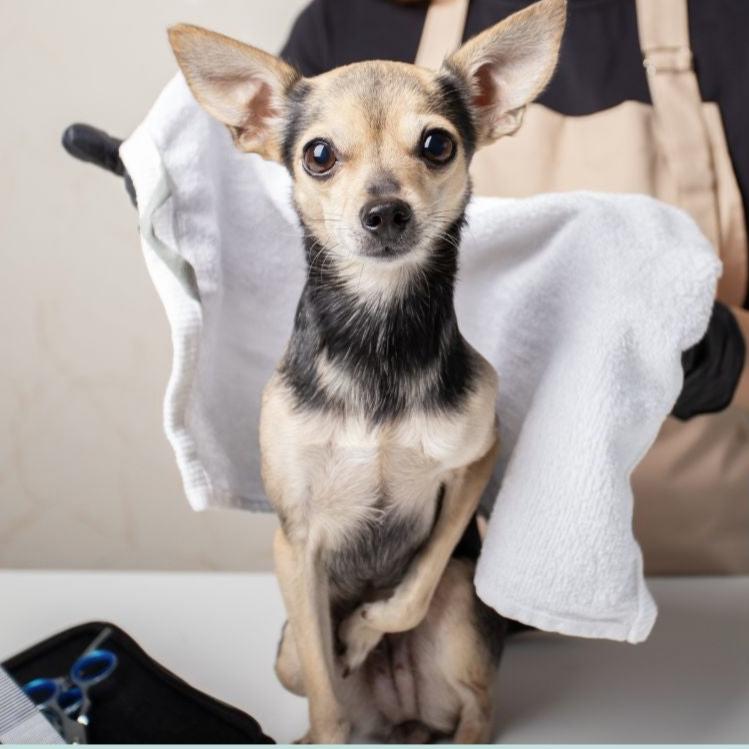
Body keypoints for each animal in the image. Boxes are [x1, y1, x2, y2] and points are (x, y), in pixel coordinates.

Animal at [169, 0, 564, 736]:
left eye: (437, 144)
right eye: (318, 154)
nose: (384, 211)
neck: (378, 340)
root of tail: (402, 717)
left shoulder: (473, 464)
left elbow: (410, 591)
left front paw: (360, 630)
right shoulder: (296, 545)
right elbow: (327, 695)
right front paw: (330, 704)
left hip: (463, 610)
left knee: (476, 708)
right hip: (285, 653)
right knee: (312, 676)